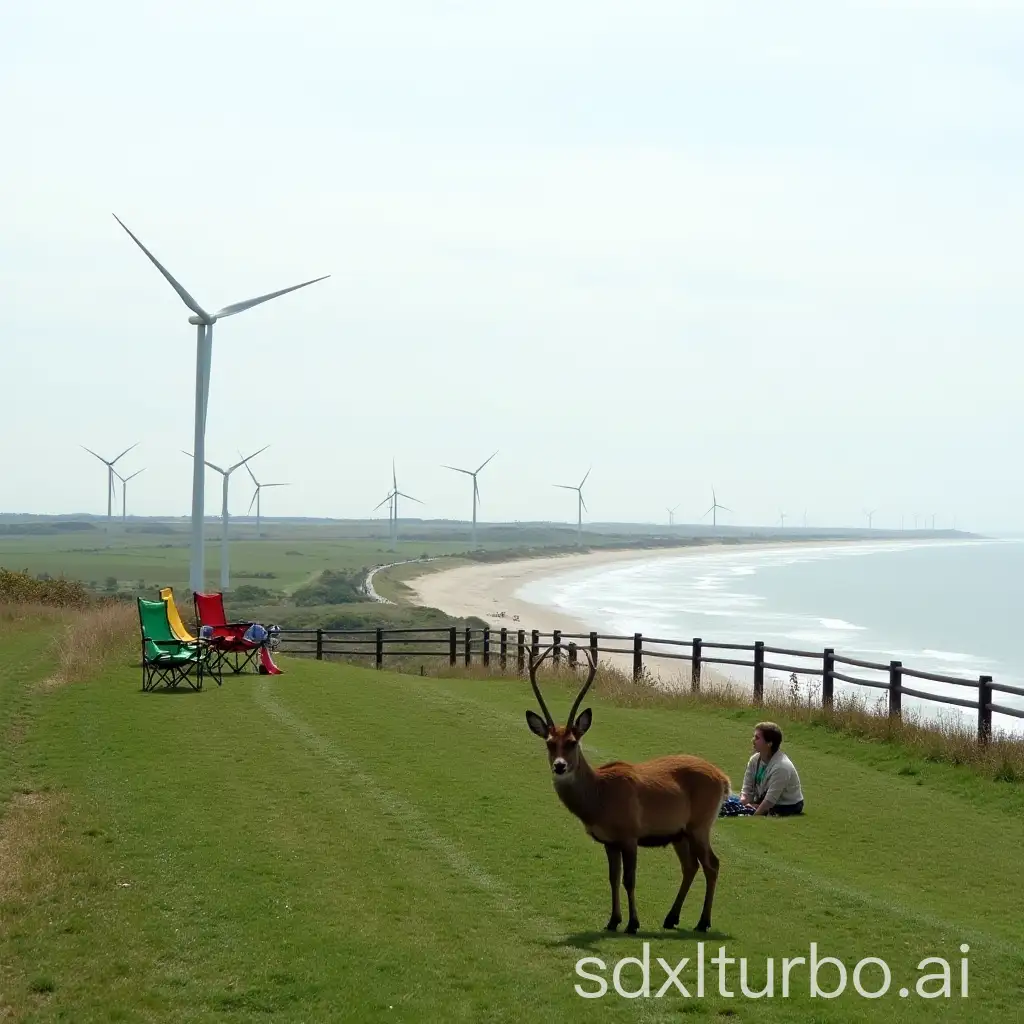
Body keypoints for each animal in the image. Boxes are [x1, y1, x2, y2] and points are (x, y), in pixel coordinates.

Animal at [524, 647, 733, 937]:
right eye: (549, 743)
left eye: (573, 742)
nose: (560, 766)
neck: (599, 799)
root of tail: (723, 779)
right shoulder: (609, 841)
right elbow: (613, 879)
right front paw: (613, 920)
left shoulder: (630, 835)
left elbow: (629, 880)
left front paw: (633, 923)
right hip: (680, 833)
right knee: (690, 866)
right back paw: (671, 918)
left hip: (700, 825)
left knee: (712, 864)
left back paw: (702, 922)